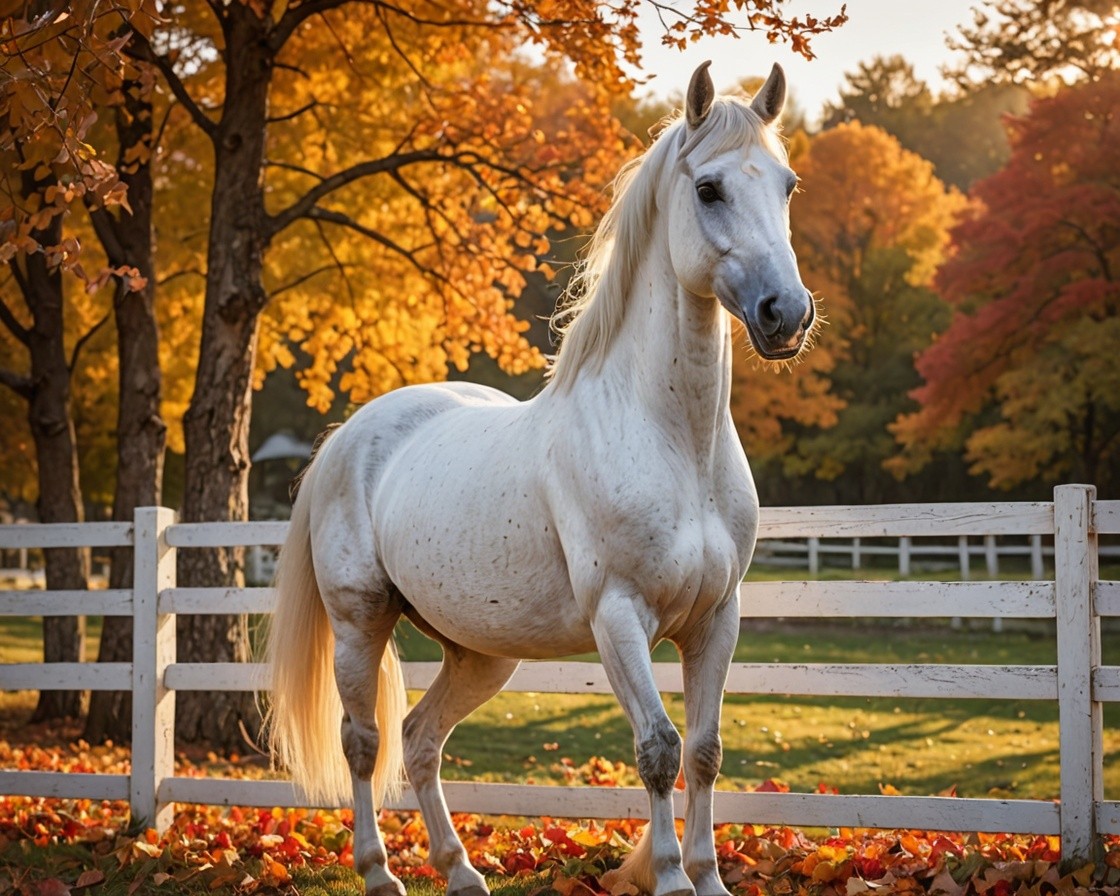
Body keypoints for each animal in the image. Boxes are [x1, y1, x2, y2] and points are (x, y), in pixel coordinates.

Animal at [265, 61, 816, 896]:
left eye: (786, 186)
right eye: (710, 188)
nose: (786, 313)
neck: (671, 442)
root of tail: (347, 440)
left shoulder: (717, 620)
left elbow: (704, 751)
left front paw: (709, 878)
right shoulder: (618, 617)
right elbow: (657, 750)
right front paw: (670, 878)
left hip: (481, 653)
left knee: (419, 738)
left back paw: (461, 871)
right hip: (361, 624)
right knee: (364, 741)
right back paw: (379, 872)